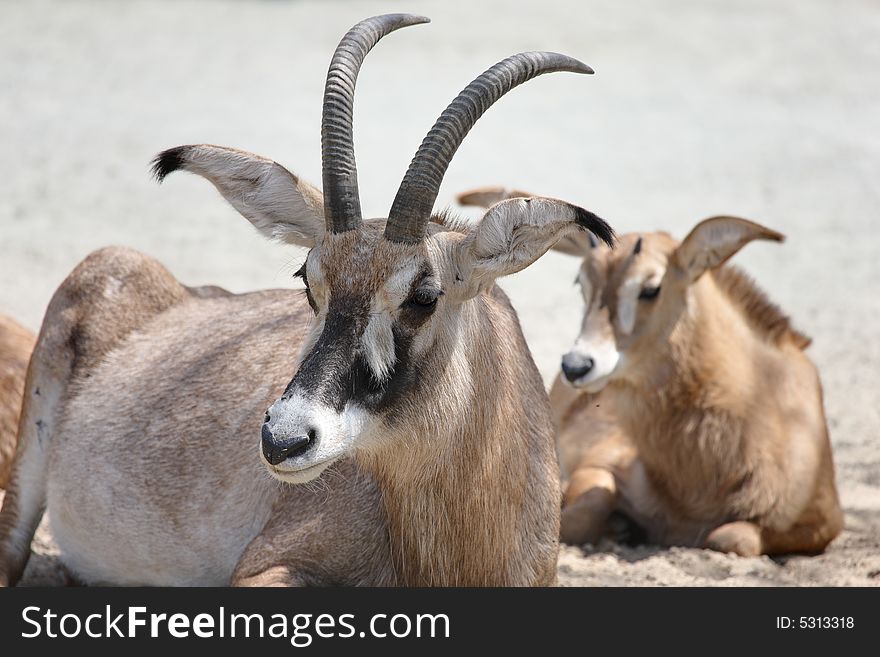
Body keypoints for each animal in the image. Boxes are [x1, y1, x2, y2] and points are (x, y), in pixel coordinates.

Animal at [458, 187, 844, 556]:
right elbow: (585, 512)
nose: (576, 366)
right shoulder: (601, 463)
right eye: (581, 283)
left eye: (651, 288)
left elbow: (730, 537)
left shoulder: (824, 524)